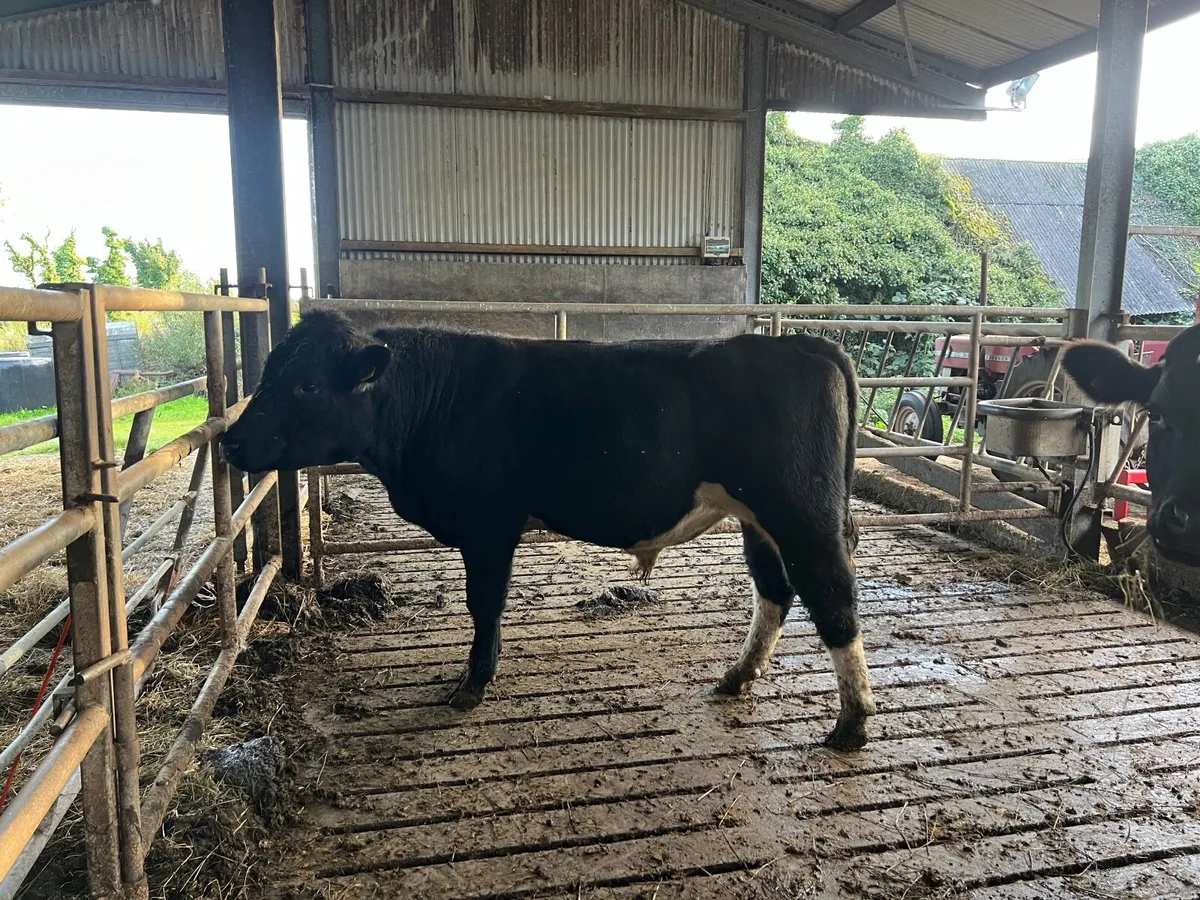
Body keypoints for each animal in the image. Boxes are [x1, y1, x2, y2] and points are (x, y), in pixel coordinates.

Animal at [222, 310, 876, 750]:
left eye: (307, 383)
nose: (230, 440)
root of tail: (806, 344)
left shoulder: (488, 523)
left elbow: (484, 603)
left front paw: (472, 684)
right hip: (758, 519)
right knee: (774, 590)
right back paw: (738, 677)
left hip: (802, 513)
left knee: (834, 597)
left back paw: (852, 721)